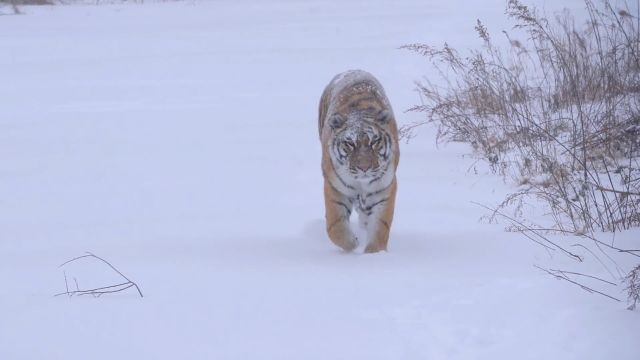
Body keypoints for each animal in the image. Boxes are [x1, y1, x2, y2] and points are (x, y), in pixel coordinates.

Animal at [318, 70, 402, 253]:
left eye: (374, 142)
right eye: (350, 144)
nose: (364, 168)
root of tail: (352, 70)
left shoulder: (383, 190)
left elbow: (380, 227)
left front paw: (373, 253)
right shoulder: (334, 188)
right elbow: (335, 226)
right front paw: (352, 244)